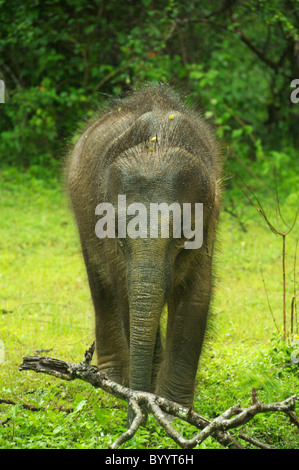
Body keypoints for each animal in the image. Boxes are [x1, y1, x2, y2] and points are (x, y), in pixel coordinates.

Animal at [67, 84, 223, 418]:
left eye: (183, 237)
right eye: (119, 240)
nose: (138, 410)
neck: (158, 142)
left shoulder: (211, 223)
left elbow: (196, 296)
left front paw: (176, 409)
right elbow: (125, 292)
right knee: (101, 288)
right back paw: (111, 382)